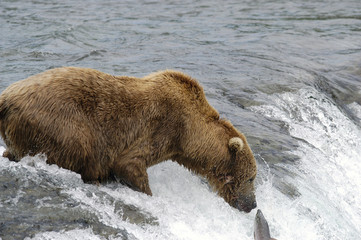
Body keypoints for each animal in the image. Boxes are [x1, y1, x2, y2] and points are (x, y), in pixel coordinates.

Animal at [0, 66, 258, 213]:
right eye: (252, 178)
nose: (253, 205)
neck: (188, 134)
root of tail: (6, 97)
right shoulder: (160, 127)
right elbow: (129, 163)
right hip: (60, 122)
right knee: (78, 147)